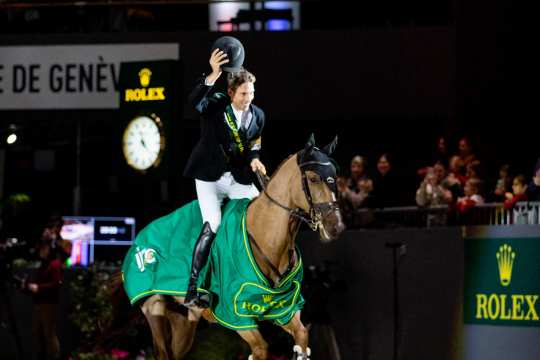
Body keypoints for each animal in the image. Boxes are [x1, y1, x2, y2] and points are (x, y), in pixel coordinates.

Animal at [127, 136, 346, 360]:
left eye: (335, 176)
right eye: (313, 178)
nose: (335, 226)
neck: (267, 237)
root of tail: (139, 238)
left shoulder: (283, 308)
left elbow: (301, 336)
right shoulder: (236, 314)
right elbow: (261, 349)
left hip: (184, 323)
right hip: (154, 307)